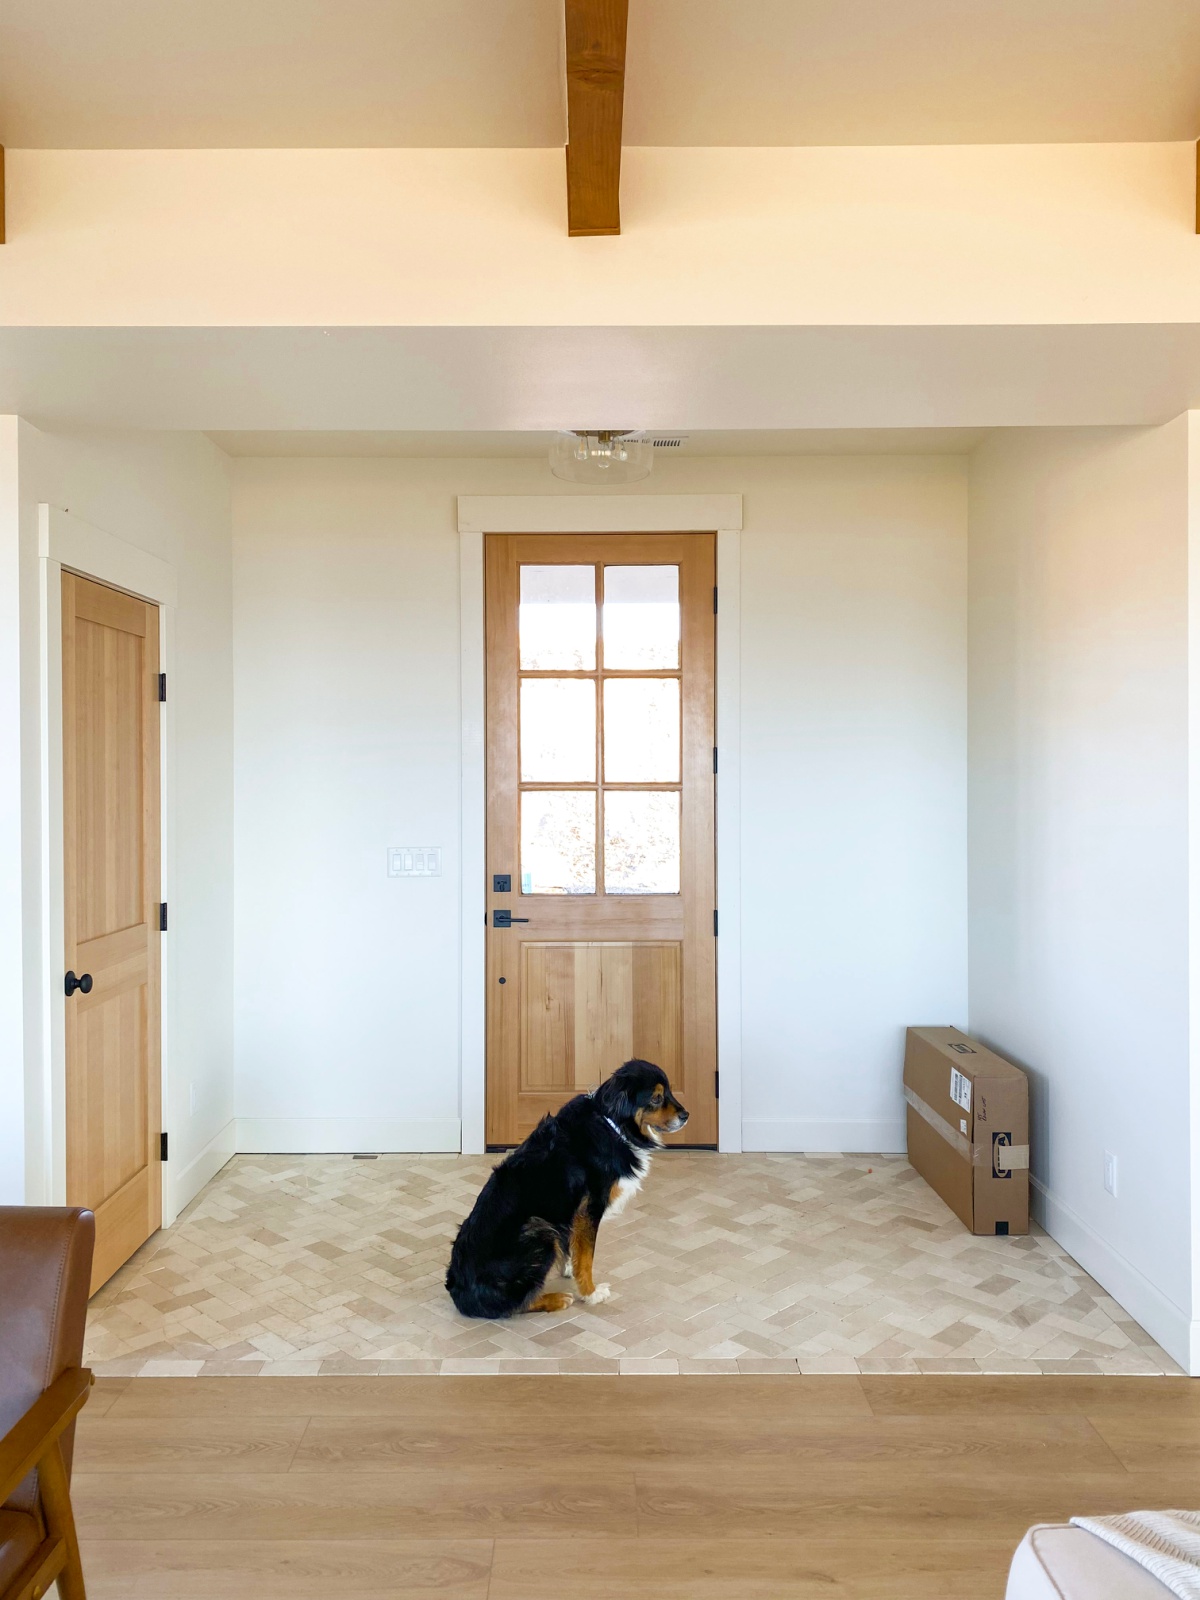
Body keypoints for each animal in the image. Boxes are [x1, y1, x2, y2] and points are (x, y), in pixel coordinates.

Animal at [444, 1062, 691, 1312]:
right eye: (656, 1098)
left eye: (670, 1091)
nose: (686, 1116)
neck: (612, 1124)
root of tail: (459, 1290)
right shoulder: (589, 1208)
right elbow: (587, 1258)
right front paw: (591, 1293)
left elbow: (576, 1248)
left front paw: (570, 1266)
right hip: (540, 1228)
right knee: (517, 1302)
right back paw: (557, 1298)